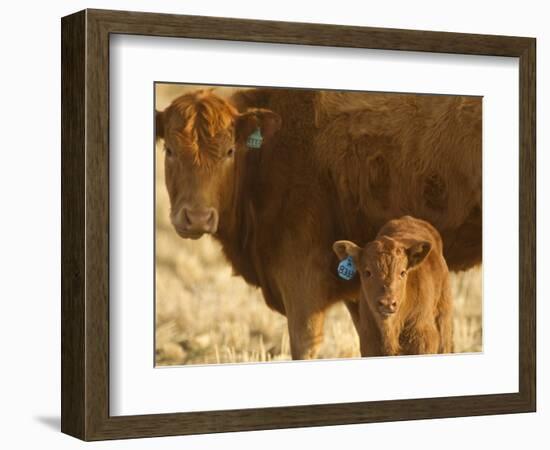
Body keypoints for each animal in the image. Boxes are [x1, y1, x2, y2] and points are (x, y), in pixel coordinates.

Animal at [334, 216, 454, 356]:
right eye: (367, 272)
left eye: (402, 272)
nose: (387, 303)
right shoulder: (368, 341)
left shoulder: (424, 340)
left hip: (444, 319)